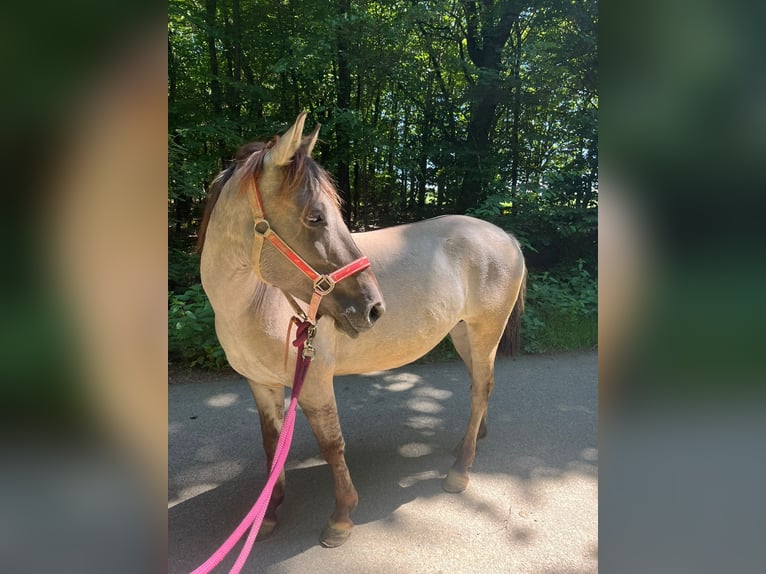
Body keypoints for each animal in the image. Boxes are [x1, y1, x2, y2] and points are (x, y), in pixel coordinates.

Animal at [198, 112, 528, 548]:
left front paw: (341, 518)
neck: (252, 302)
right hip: (461, 333)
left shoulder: (315, 381)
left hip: (484, 330)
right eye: (315, 216)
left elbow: (331, 444)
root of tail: (504, 235)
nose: (374, 307)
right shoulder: (260, 384)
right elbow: (272, 445)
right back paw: (469, 443)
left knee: (481, 388)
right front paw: (267, 514)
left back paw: (460, 469)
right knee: (479, 383)